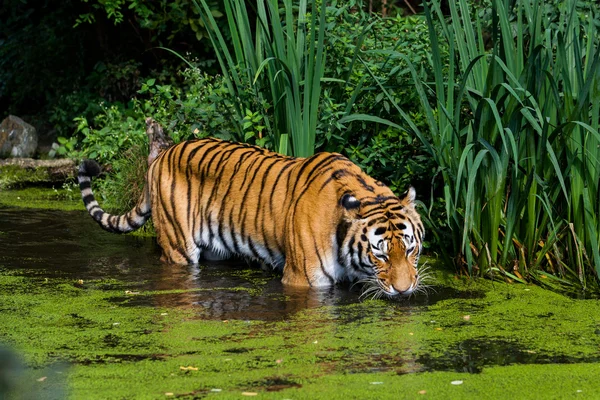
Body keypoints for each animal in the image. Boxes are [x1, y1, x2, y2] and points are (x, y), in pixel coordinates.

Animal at [78, 138, 426, 296]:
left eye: (410, 249)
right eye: (380, 255)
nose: (404, 290)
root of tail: (161, 154)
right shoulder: (302, 280)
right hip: (178, 248)